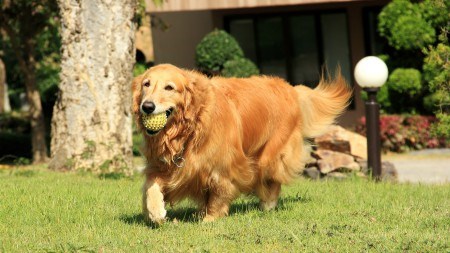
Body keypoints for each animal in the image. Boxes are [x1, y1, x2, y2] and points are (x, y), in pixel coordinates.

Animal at [133, 63, 352, 223]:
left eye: (169, 87)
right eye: (146, 84)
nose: (147, 106)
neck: (191, 127)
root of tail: (290, 88)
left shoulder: (223, 167)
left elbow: (218, 194)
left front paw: (210, 219)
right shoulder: (163, 165)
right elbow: (151, 187)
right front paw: (155, 212)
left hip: (270, 154)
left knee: (272, 179)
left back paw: (268, 204)